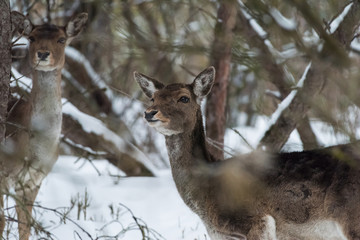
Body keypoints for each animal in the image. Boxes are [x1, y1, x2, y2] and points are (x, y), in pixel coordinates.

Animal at [1, 11, 88, 240]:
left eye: (61, 39)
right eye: (31, 38)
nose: (42, 54)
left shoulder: (32, 182)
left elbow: (25, 227)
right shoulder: (4, 174)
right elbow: (3, 221)